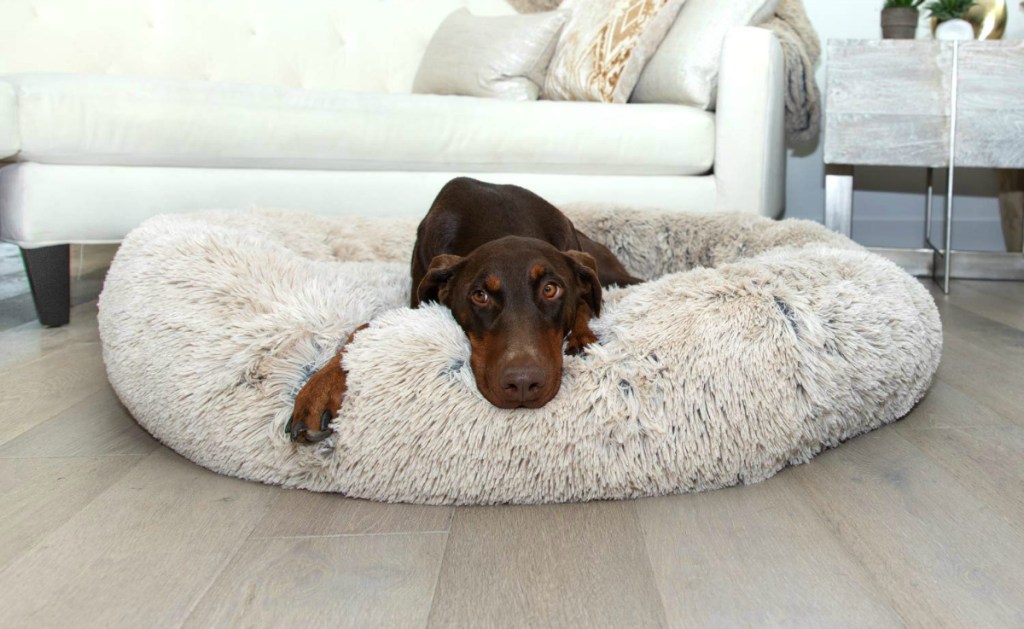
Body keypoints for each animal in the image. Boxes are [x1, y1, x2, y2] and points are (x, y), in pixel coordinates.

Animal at [288, 177, 638, 444]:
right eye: (479, 295)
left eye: (551, 289)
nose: (523, 384)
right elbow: (363, 329)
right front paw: (319, 389)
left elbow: (582, 303)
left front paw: (582, 335)